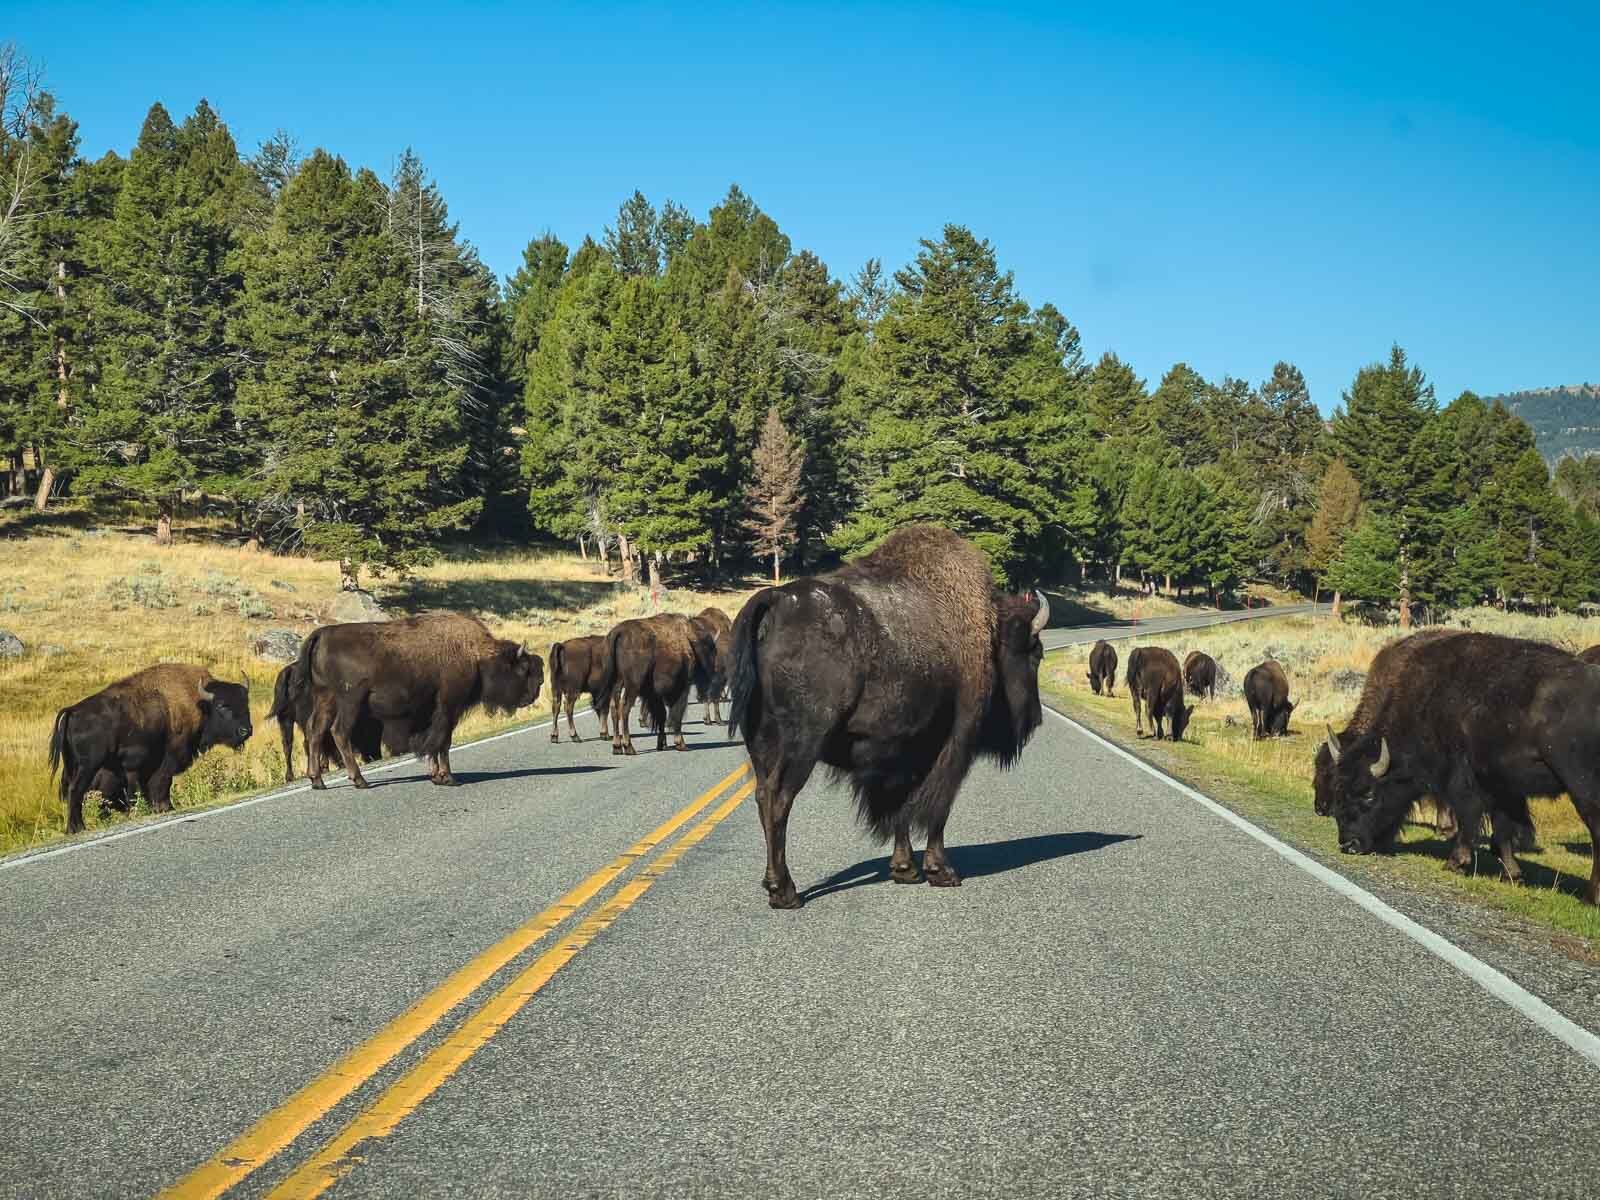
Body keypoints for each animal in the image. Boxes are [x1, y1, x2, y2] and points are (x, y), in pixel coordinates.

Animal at [50, 668, 254, 838]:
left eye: (246, 703)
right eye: (222, 705)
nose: (246, 730)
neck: (199, 703)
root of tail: (73, 711)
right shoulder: (171, 756)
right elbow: (163, 781)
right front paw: (165, 808)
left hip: (73, 766)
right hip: (89, 766)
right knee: (76, 790)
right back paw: (77, 828)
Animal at [299, 614, 544, 793]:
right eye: (523, 669)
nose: (534, 693)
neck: (474, 653)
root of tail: (322, 634)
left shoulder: (430, 713)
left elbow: (432, 742)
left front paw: (436, 776)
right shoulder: (449, 707)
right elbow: (442, 742)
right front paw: (448, 778)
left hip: (325, 698)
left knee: (315, 731)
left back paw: (317, 781)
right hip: (350, 701)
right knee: (339, 732)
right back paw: (360, 780)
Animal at [598, 614, 716, 755]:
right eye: (710, 649)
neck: (688, 639)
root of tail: (619, 632)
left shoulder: (655, 694)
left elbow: (662, 715)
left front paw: (662, 744)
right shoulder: (681, 688)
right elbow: (676, 714)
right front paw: (680, 744)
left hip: (617, 683)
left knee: (614, 708)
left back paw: (617, 747)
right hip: (632, 685)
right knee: (624, 708)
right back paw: (629, 747)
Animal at [726, 524, 1049, 908]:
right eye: (1035, 654)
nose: (1036, 718)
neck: (987, 631)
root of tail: (775, 600)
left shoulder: (906, 754)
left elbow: (902, 810)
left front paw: (905, 869)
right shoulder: (954, 745)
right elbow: (936, 809)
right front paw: (942, 872)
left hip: (760, 744)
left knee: (763, 797)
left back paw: (775, 885)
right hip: (801, 744)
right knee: (779, 799)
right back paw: (785, 892)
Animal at [1312, 633, 1600, 908]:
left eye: (1369, 794)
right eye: (1339, 788)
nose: (1349, 844)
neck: (1426, 703)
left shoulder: (1462, 781)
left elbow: (1468, 817)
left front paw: (1455, 862)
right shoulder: (1501, 786)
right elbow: (1502, 830)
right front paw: (1512, 874)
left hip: (1583, 789)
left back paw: (1589, 898)